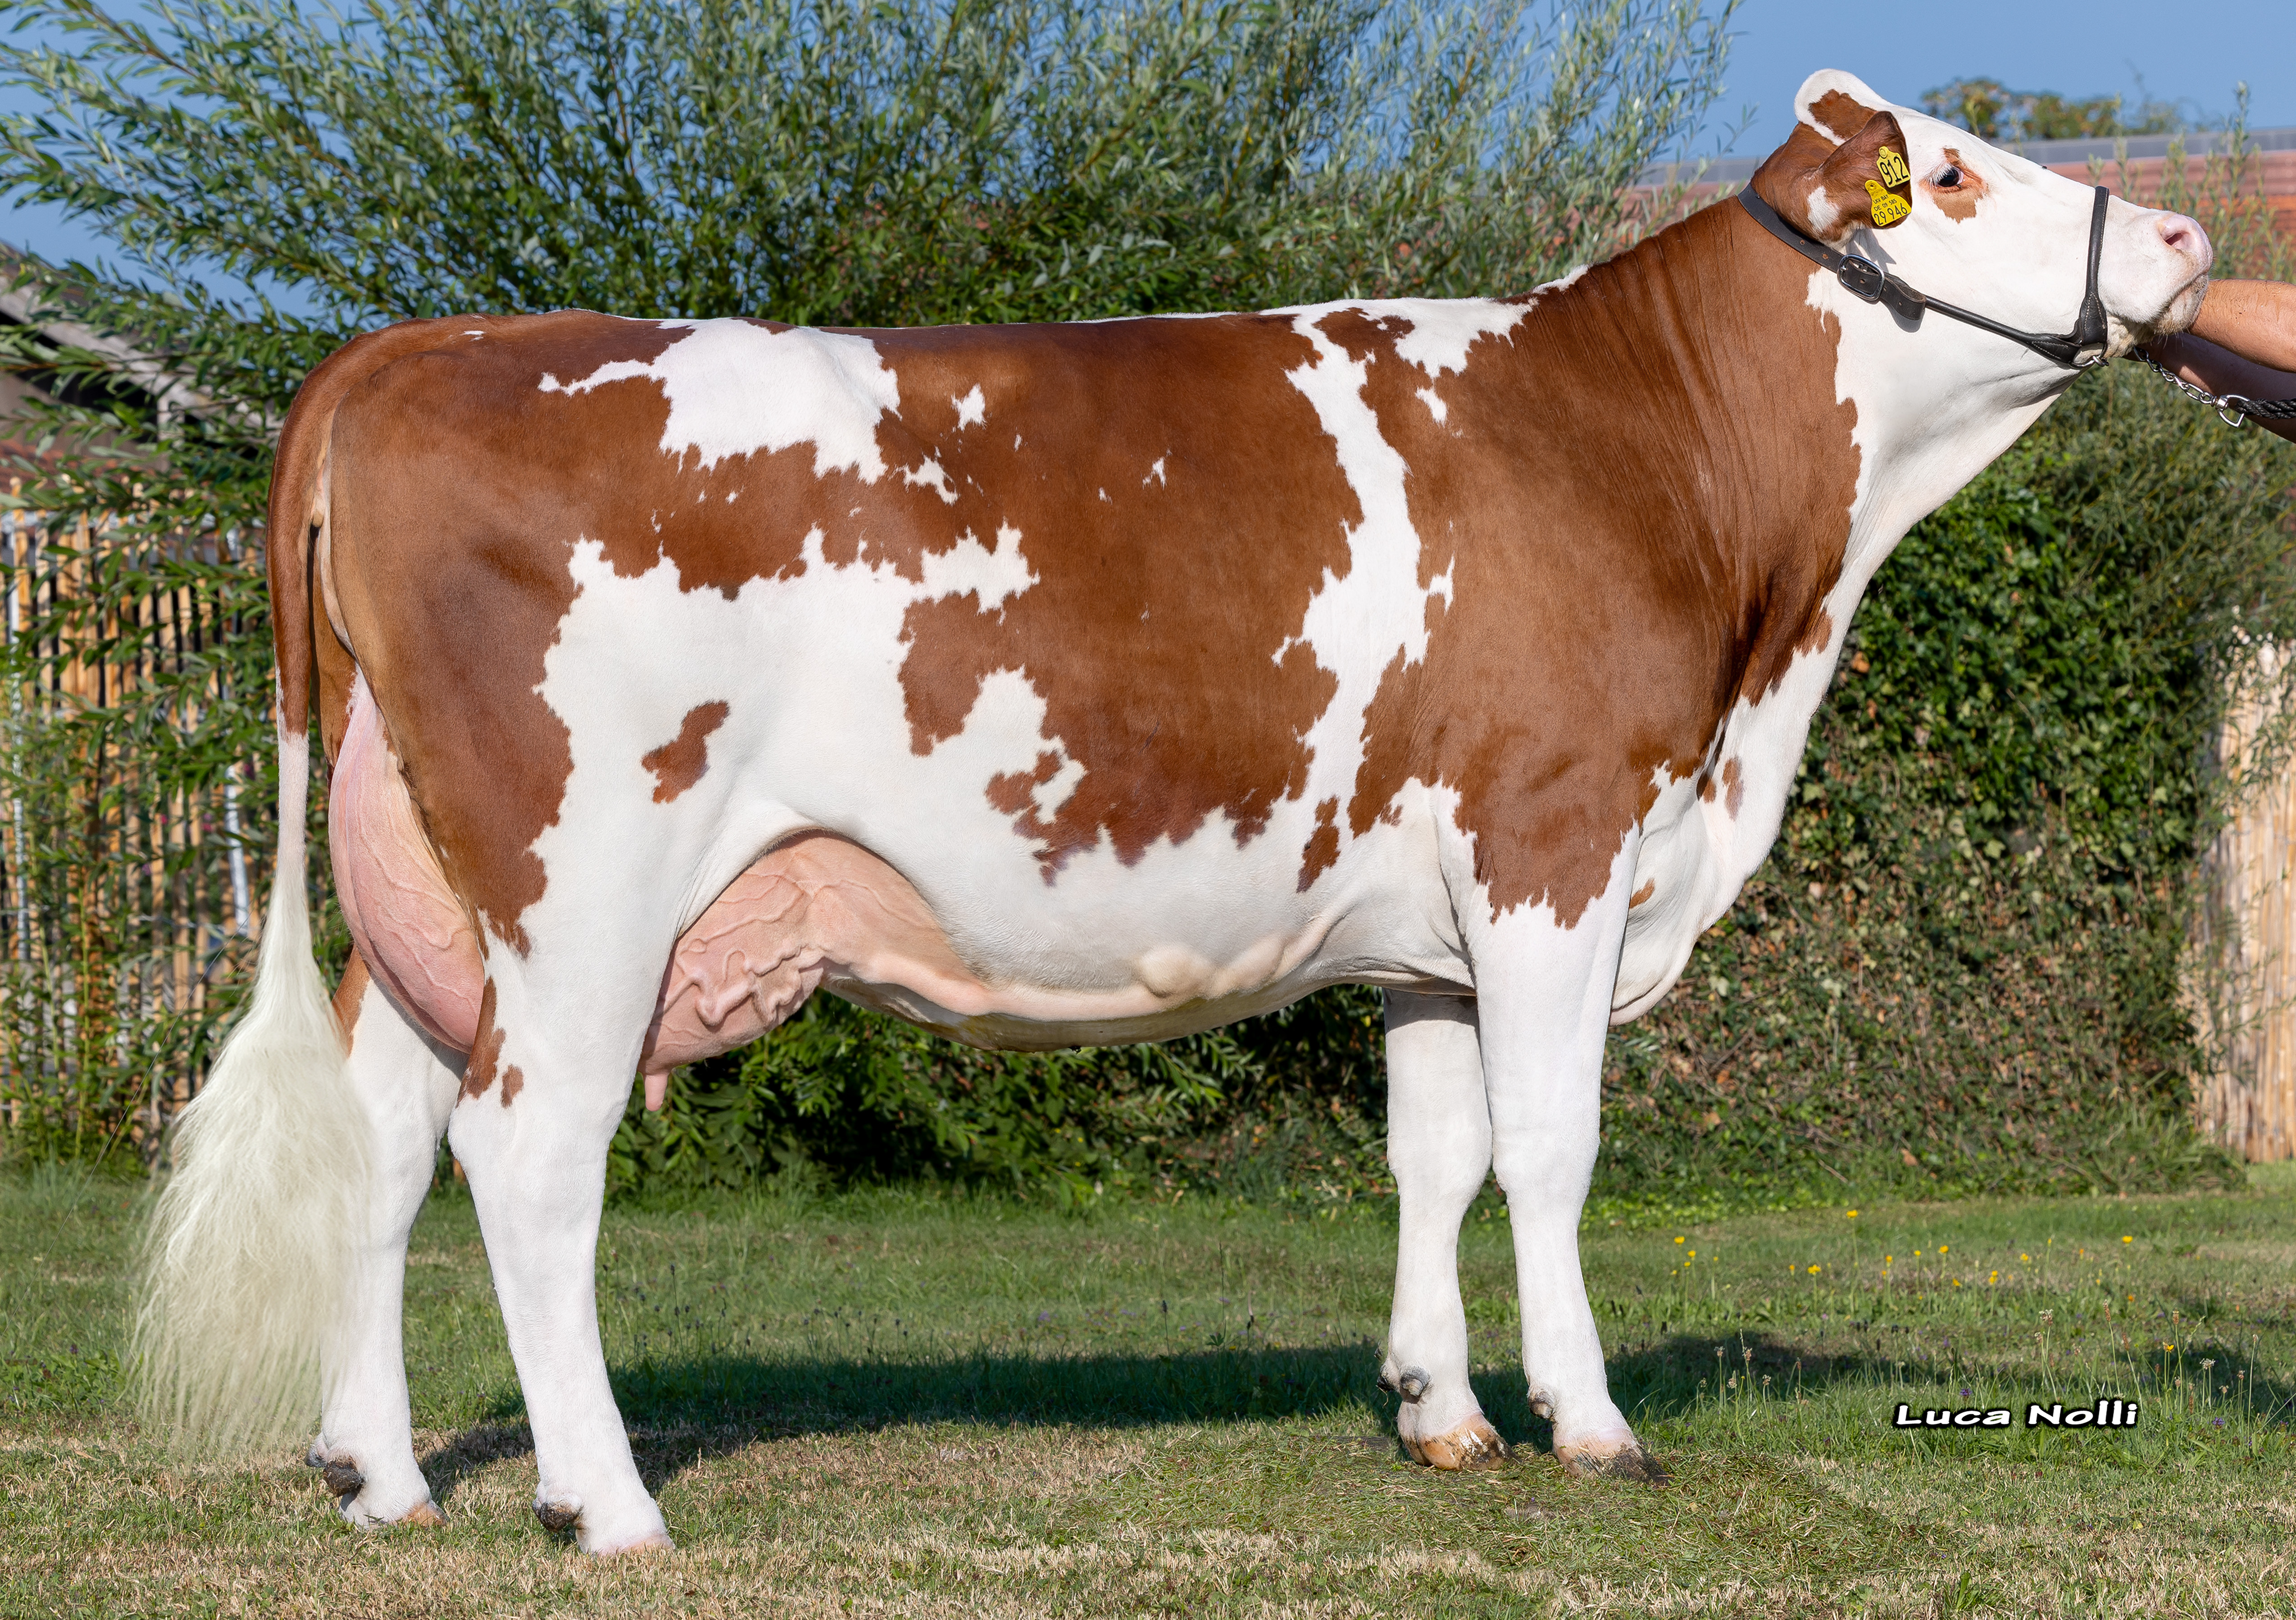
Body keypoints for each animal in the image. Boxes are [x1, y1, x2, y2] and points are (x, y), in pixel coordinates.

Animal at [133, 70, 2210, 1553]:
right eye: (1951, 177)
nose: (2190, 227)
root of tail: (429, 344)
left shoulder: (1429, 927)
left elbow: (1435, 1150)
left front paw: (1442, 1409)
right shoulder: (1551, 846)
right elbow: (1548, 1148)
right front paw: (1590, 1419)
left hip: (427, 894)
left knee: (385, 1141)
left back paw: (384, 1473)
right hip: (586, 889)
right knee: (527, 1152)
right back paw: (606, 1499)